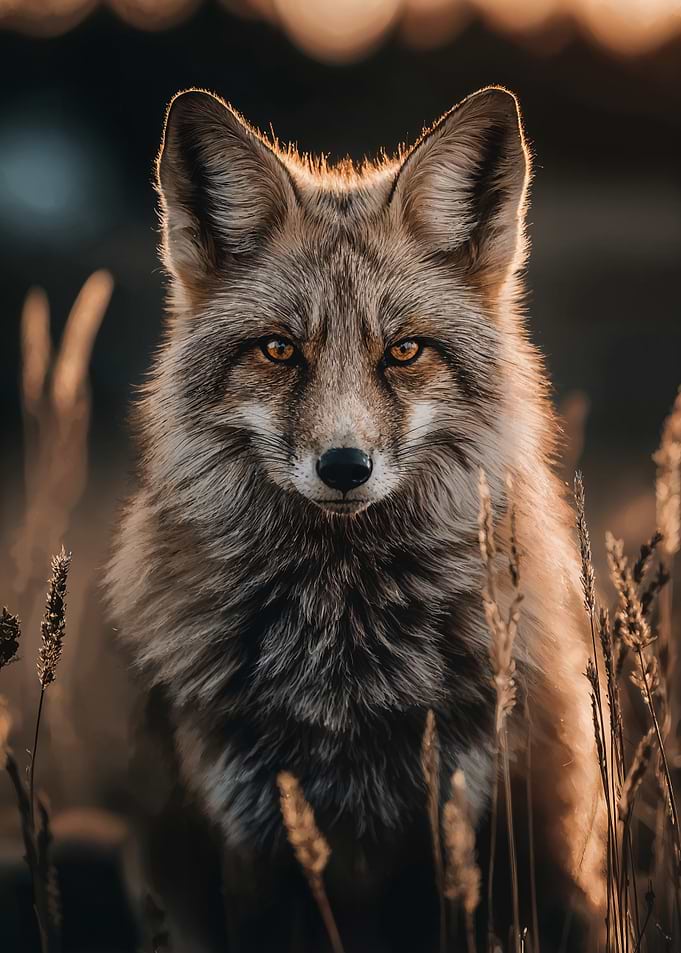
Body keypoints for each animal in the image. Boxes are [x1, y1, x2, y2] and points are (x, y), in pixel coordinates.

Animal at [108, 86, 605, 951]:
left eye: (404, 351)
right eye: (278, 350)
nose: (344, 466)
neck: (345, 659)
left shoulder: (458, 818)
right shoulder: (254, 831)